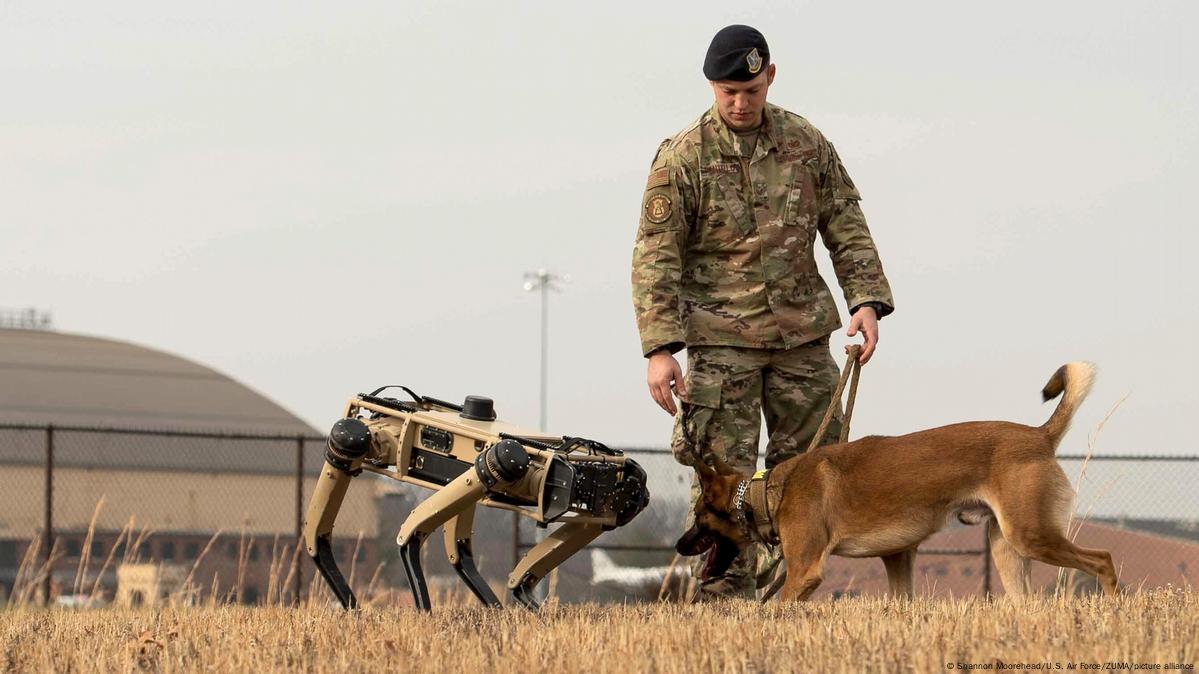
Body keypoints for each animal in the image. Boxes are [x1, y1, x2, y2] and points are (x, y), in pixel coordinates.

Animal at [681, 362, 1117, 597]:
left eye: (699, 517)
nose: (681, 544)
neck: (768, 491)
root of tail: (1039, 435)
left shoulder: (805, 572)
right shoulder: (899, 556)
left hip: (1031, 535)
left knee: (1104, 560)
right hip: (1007, 547)